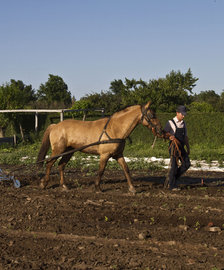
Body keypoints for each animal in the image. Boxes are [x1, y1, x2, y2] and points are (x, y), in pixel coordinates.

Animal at [36, 100, 165, 193]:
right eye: (152, 115)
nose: (161, 131)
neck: (115, 129)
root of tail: (55, 126)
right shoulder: (105, 155)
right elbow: (101, 170)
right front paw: (97, 187)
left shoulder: (118, 155)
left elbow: (126, 169)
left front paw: (132, 188)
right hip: (58, 150)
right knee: (49, 163)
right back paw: (43, 183)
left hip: (69, 151)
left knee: (61, 165)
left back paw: (64, 186)